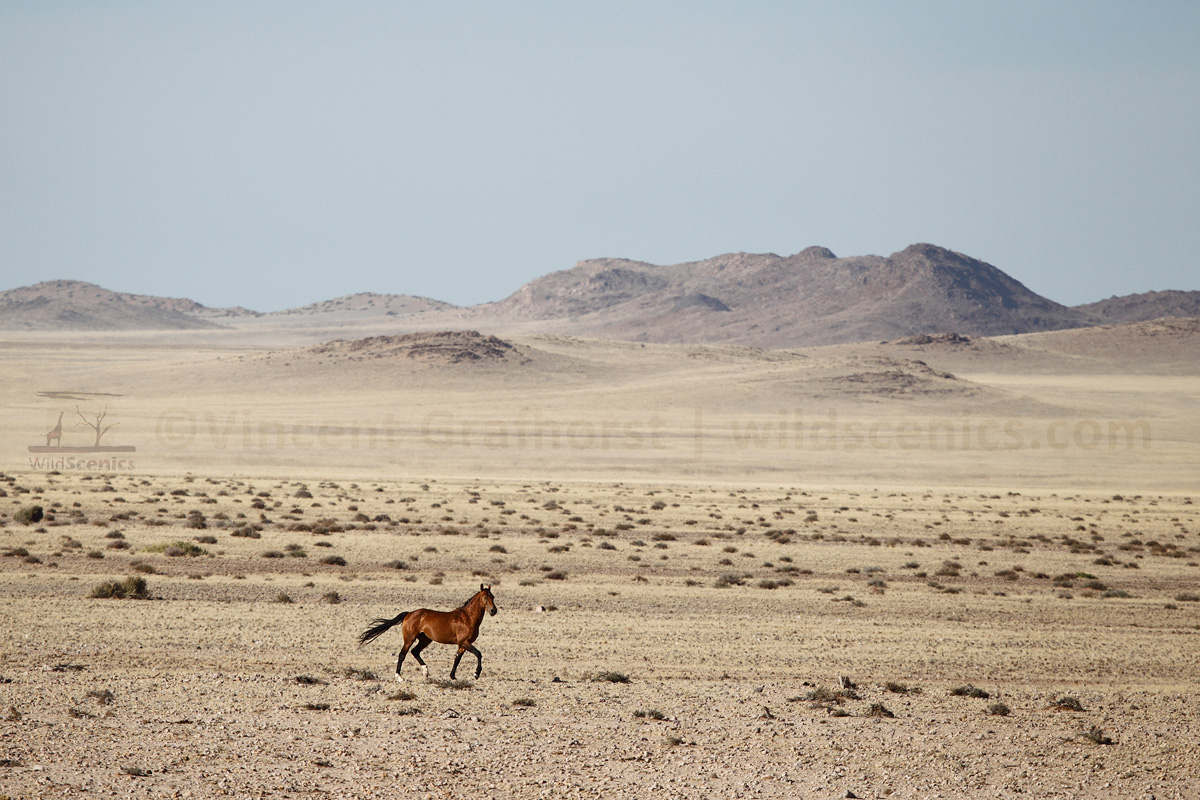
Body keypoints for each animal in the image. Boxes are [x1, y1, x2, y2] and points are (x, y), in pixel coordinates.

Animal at [358, 585, 497, 681]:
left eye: (493, 597)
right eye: (485, 597)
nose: (493, 610)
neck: (467, 618)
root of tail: (409, 613)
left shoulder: (462, 644)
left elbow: (457, 659)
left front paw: (452, 676)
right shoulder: (464, 642)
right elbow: (478, 654)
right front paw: (476, 673)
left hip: (425, 639)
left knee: (415, 651)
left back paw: (425, 671)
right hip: (409, 639)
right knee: (402, 654)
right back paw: (399, 677)